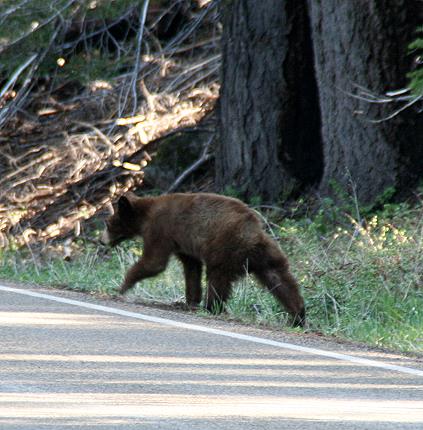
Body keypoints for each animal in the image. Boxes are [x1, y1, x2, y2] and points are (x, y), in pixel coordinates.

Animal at [102, 191, 308, 326]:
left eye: (108, 223)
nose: (101, 241)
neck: (145, 214)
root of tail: (252, 234)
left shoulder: (161, 229)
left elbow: (155, 262)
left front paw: (122, 286)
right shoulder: (183, 243)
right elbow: (191, 267)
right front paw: (191, 300)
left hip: (224, 248)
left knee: (217, 278)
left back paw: (212, 307)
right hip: (267, 253)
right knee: (280, 279)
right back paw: (298, 315)